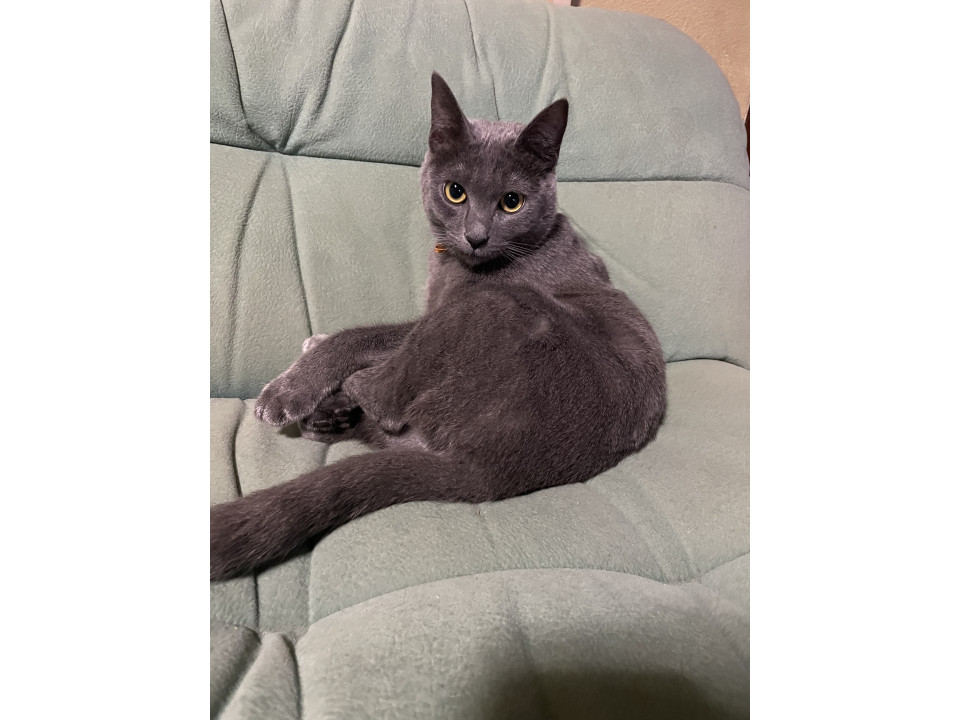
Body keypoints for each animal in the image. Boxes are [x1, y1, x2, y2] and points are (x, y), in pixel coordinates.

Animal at [210, 73, 667, 582]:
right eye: (455, 192)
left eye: (512, 202)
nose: (476, 236)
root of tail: (495, 470)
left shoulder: (437, 311)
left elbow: (364, 336)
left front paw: (293, 384)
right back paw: (329, 418)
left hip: (493, 308)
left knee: (387, 399)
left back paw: (340, 398)